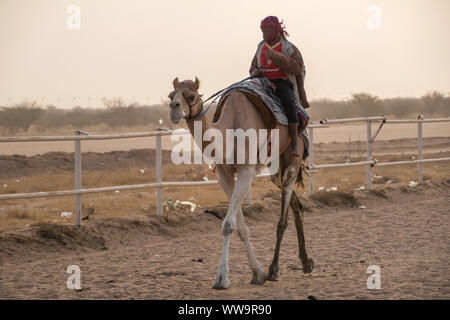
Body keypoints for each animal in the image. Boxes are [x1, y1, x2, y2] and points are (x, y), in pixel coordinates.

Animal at [167, 76, 314, 288]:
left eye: (191, 95)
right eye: (171, 95)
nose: (174, 109)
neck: (228, 133)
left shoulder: (246, 170)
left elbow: (228, 224)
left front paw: (222, 278)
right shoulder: (224, 174)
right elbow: (241, 227)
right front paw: (257, 273)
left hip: (293, 160)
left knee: (283, 215)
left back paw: (274, 269)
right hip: (275, 168)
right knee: (296, 205)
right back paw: (306, 262)